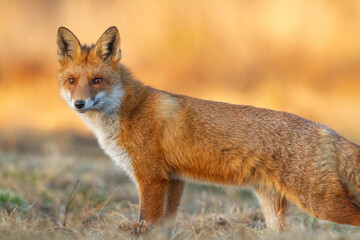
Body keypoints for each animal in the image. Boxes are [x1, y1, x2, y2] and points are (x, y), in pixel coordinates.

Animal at [57, 26, 360, 232]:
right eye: (72, 81)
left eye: (97, 80)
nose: (79, 103)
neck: (129, 111)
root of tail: (327, 130)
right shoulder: (174, 180)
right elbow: (164, 228)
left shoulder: (152, 179)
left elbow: (147, 225)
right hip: (274, 209)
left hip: (319, 203)